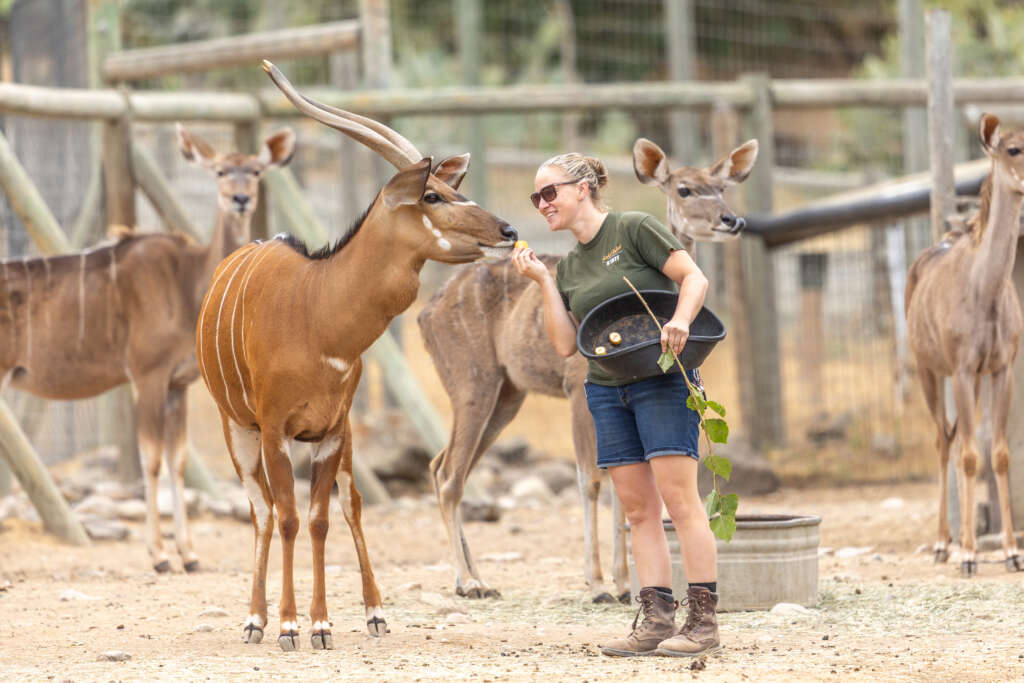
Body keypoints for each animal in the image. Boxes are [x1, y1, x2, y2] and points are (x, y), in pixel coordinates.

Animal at [0, 123, 294, 573]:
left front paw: (189, 554)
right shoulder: (147, 375)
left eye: (257, 171)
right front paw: (159, 555)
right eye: (221, 172)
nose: (241, 199)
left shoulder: (178, 384)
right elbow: (151, 459)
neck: (190, 282)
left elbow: (178, 460)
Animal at [195, 61, 517, 651]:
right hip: (238, 430)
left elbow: (322, 518)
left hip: (339, 441)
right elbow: (289, 516)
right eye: (432, 196)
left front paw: (323, 624)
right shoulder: (274, 430)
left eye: (449, 188)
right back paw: (255, 620)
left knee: (349, 505)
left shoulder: (331, 432)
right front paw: (289, 625)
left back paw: (373, 613)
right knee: (262, 510)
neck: (319, 317)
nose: (508, 231)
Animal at [906, 113, 1022, 575]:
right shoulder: (961, 368)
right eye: (1013, 149)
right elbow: (973, 455)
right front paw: (971, 554)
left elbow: (999, 454)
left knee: (956, 444)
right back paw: (944, 545)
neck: (985, 289)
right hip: (929, 371)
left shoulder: (1001, 368)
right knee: (944, 442)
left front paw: (1011, 553)